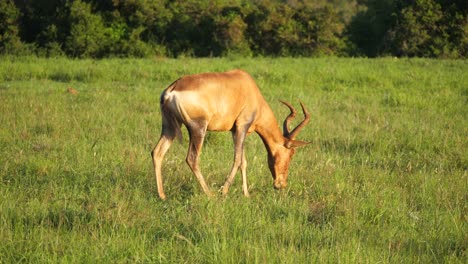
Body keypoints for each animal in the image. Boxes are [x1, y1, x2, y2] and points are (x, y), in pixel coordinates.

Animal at [152, 69, 308, 199]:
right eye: (291, 153)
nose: (281, 185)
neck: (249, 88)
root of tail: (172, 89)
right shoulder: (242, 126)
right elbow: (237, 160)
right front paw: (224, 191)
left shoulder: (236, 130)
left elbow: (243, 162)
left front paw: (246, 194)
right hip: (198, 128)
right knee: (192, 158)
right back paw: (210, 194)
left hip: (170, 128)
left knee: (157, 152)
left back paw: (162, 195)